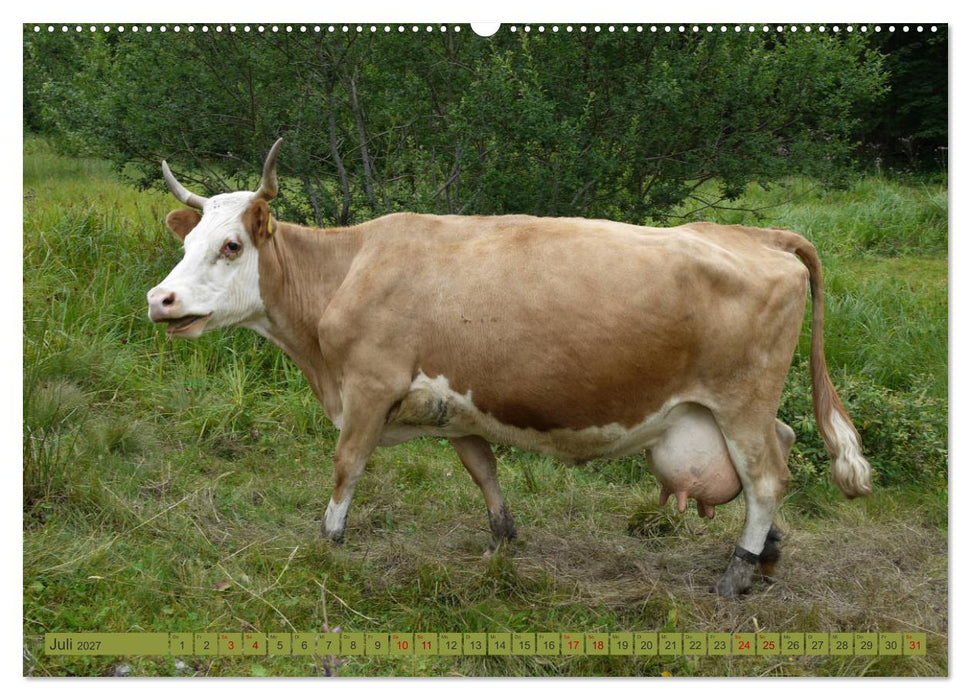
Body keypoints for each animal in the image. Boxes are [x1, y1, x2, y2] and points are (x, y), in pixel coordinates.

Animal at [147, 139, 872, 597]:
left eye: (230, 245)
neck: (347, 272)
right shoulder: (457, 404)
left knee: (767, 478)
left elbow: (346, 467)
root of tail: (756, 235)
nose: (161, 299)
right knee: (780, 451)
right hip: (731, 411)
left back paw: (738, 571)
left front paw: (329, 544)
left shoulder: (368, 389)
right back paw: (768, 554)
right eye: (186, 242)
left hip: (740, 401)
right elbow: (483, 471)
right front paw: (501, 545)